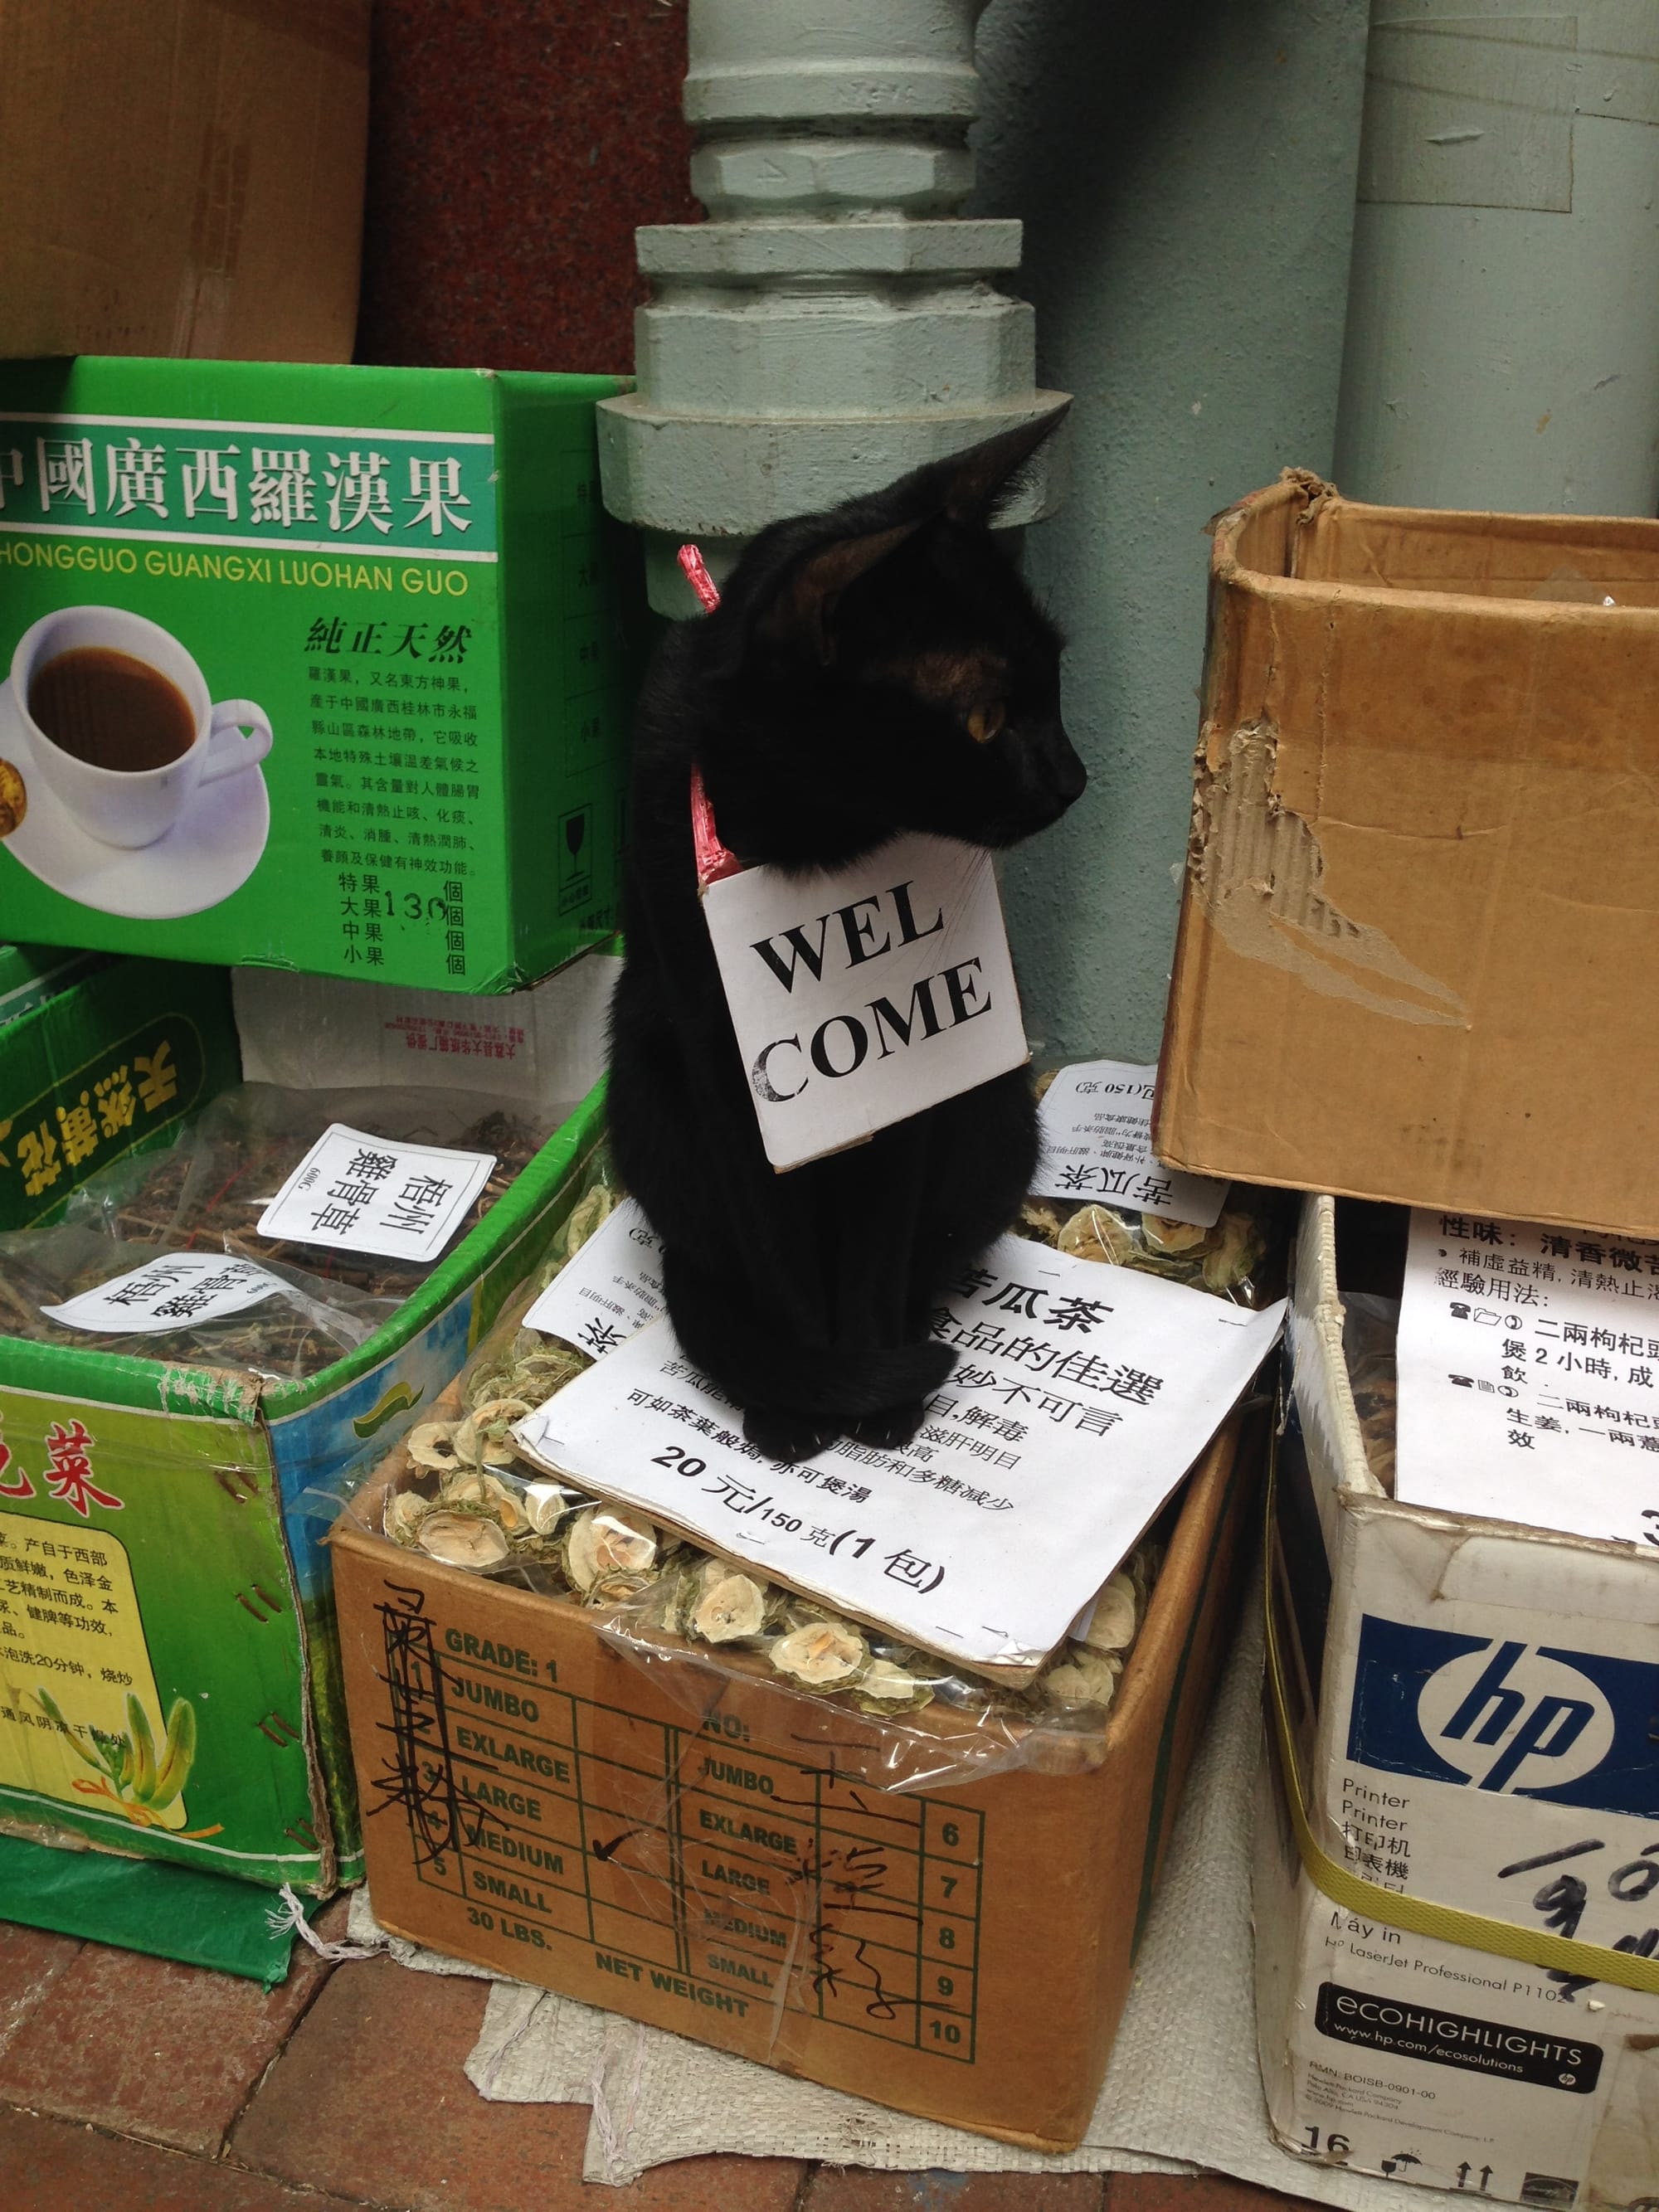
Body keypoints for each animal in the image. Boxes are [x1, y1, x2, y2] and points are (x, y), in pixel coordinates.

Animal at [606, 416, 1083, 1468]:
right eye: (984, 716)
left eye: (1055, 680)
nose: (1074, 777)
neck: (810, 838)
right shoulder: (725, 1077)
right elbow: (775, 1256)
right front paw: (798, 1404)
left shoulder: (906, 1086)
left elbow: (875, 1254)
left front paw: (871, 1396)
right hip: (646, 1099)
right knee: (706, 1254)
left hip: (994, 1117)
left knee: (928, 1251)